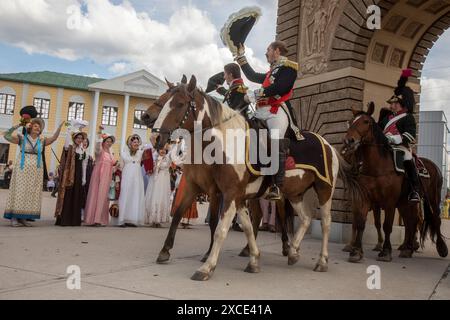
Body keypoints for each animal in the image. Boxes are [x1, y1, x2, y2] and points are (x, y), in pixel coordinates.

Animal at [146, 75, 340, 280]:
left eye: (180, 104)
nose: (155, 138)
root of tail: (327, 144)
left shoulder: (228, 194)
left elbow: (220, 229)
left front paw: (207, 266)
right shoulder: (230, 194)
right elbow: (245, 226)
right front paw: (254, 259)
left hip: (324, 189)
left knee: (325, 222)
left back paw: (321, 260)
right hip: (295, 193)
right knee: (305, 217)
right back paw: (293, 251)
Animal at [342, 104, 446, 262]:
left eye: (366, 121)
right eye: (351, 121)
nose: (349, 141)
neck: (377, 167)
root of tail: (433, 166)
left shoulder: (389, 202)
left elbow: (387, 226)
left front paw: (385, 251)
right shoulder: (365, 199)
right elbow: (360, 223)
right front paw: (356, 251)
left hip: (433, 199)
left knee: (435, 219)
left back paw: (441, 248)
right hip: (406, 202)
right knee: (411, 222)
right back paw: (408, 249)